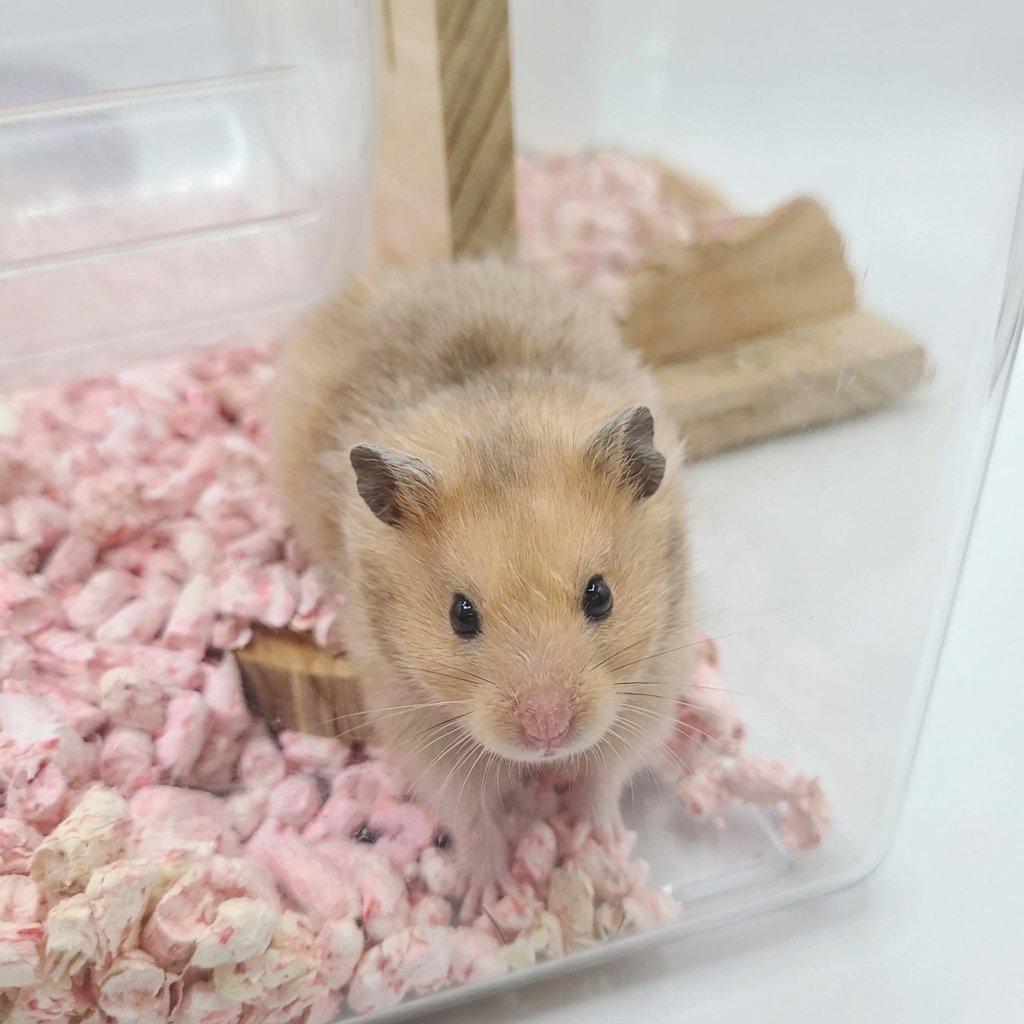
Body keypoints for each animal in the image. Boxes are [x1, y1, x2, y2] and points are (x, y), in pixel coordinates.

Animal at [271, 258, 696, 901]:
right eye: (460, 615)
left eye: (600, 595)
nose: (548, 731)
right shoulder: (419, 725)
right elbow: (469, 813)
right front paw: (488, 894)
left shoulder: (649, 689)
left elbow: (602, 778)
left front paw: (602, 847)